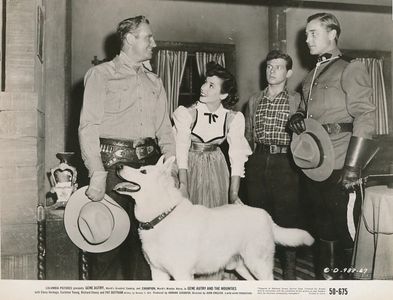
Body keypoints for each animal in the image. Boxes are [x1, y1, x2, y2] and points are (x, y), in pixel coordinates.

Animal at [113, 156, 312, 280]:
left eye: (143, 172)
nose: (118, 166)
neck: (161, 215)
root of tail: (267, 216)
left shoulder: (182, 274)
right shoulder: (158, 273)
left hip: (258, 265)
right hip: (241, 267)